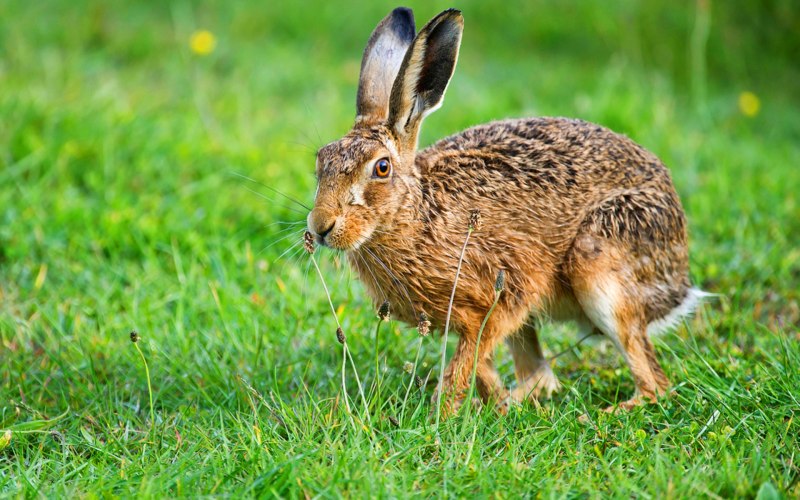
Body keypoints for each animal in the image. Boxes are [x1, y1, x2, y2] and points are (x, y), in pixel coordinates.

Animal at [306, 7, 707, 416]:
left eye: (382, 168)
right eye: (321, 161)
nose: (321, 226)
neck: (415, 214)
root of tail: (678, 276)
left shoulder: (507, 292)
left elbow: (465, 361)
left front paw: (442, 413)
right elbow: (478, 362)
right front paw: (491, 405)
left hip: (601, 264)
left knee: (654, 382)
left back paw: (601, 413)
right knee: (542, 376)